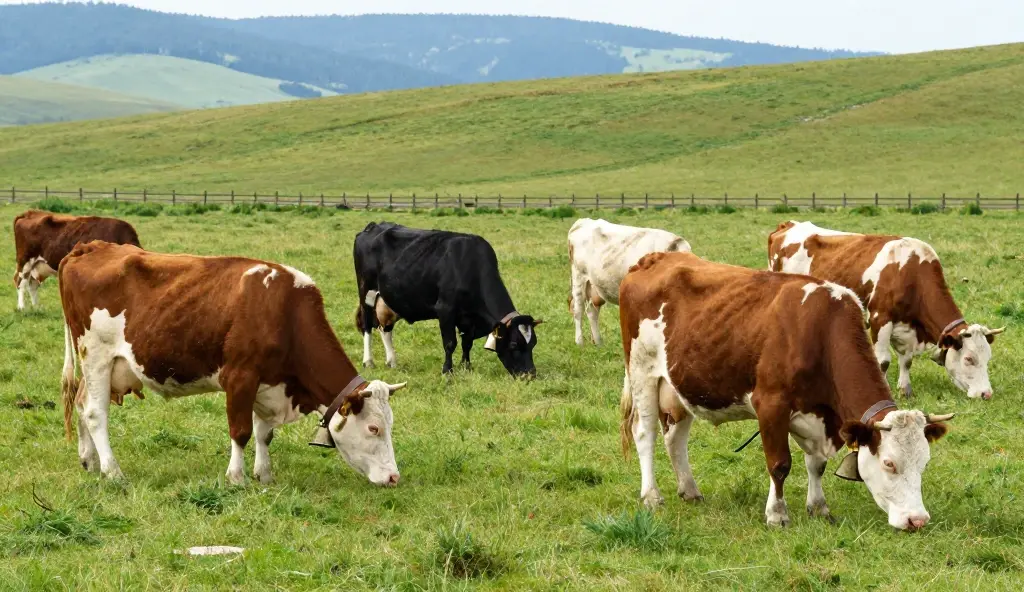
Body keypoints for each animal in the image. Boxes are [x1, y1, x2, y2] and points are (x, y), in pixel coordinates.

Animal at [59, 241, 406, 487]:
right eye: (374, 428)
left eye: (390, 425)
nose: (394, 477)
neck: (285, 312)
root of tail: (88, 247)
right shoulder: (241, 377)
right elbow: (241, 431)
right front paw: (236, 477)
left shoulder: (269, 383)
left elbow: (264, 433)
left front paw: (264, 474)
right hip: (97, 355)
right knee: (95, 413)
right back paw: (112, 471)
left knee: (81, 402)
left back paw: (89, 460)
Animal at [353, 222, 542, 377]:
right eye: (514, 345)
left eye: (533, 344)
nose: (530, 375)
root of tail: (373, 226)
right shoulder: (445, 309)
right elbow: (450, 343)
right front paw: (447, 371)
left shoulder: (468, 318)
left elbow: (467, 342)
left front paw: (466, 367)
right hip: (366, 292)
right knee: (367, 325)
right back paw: (368, 361)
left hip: (389, 299)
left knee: (385, 328)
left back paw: (392, 361)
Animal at [567, 218, 691, 346]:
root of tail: (584, 221)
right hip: (578, 277)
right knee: (578, 310)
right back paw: (579, 342)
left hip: (594, 285)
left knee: (592, 311)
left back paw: (598, 343)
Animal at [619, 251, 954, 530]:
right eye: (889, 463)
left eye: (924, 463)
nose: (918, 520)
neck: (820, 332)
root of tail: (653, 259)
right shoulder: (770, 405)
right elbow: (779, 464)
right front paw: (777, 514)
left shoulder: (820, 416)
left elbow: (816, 465)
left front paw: (819, 507)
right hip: (642, 372)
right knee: (645, 434)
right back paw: (651, 495)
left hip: (681, 385)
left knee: (675, 438)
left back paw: (689, 490)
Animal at [768, 221, 1003, 400]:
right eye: (969, 359)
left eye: (988, 358)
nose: (986, 394)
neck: (912, 274)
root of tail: (789, 224)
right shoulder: (880, 318)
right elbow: (882, 362)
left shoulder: (906, 328)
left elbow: (906, 360)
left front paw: (905, 389)